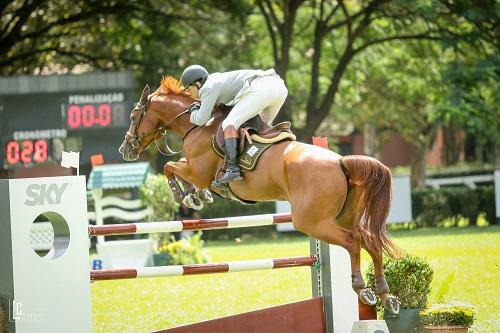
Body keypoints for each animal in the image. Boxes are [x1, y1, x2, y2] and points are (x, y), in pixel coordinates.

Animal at [119, 76, 400, 312]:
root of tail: (341, 161)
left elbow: (170, 166)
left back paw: (362, 289)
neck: (195, 126)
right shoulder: (198, 174)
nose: (125, 149)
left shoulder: (198, 172)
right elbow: (181, 170)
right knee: (369, 240)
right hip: (342, 216)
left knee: (353, 241)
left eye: (133, 116)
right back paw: (385, 294)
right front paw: (197, 196)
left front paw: (184, 194)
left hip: (312, 222)